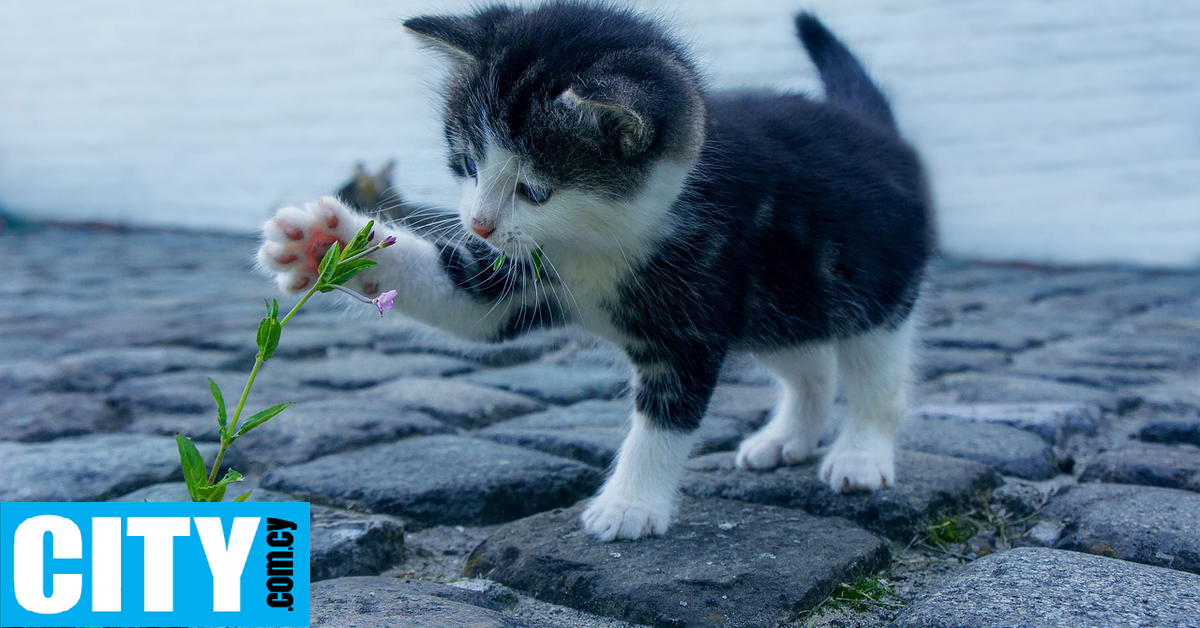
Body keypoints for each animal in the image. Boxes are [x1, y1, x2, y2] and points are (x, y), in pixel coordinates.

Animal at [260, 1, 936, 540]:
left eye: (535, 190)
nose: (478, 224)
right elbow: (464, 299)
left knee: (876, 375)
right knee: (810, 363)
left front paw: (630, 506)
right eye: (468, 163)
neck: (598, 240)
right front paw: (325, 243)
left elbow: (664, 417)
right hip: (780, 300)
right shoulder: (520, 274)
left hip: (873, 286)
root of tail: (874, 128)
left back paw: (860, 455)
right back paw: (786, 437)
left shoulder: (693, 313)